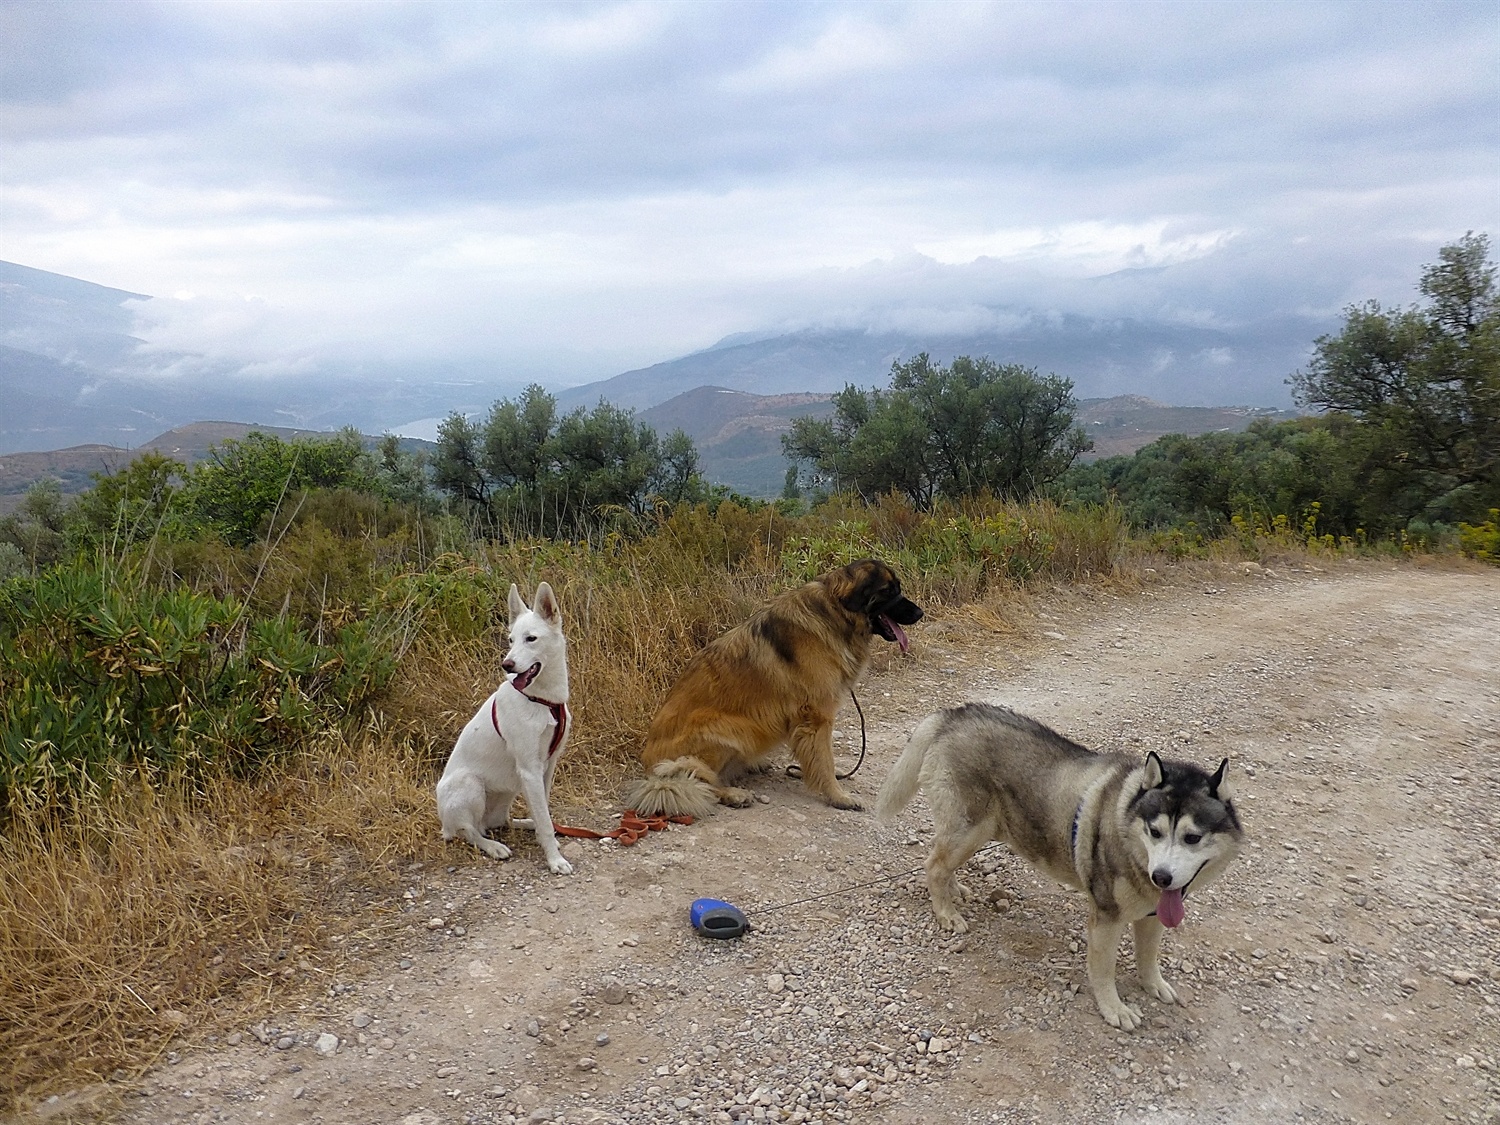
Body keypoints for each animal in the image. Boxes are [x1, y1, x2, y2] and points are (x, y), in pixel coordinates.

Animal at [438, 585, 576, 876]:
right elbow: (544, 820)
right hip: (470, 784)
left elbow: (543, 810)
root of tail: (444, 824)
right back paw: (493, 847)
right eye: (511, 640)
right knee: (470, 832)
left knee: (501, 822)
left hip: (510, 790)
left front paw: (544, 834)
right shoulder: (530, 768)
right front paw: (555, 860)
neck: (543, 700)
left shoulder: (547, 766)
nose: (506, 665)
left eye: (531, 639)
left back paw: (525, 823)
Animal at [624, 561, 924, 822]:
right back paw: (733, 793)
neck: (834, 612)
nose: (920, 613)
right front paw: (838, 796)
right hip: (726, 728)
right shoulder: (816, 716)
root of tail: (649, 765)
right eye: (888, 592)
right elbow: (823, 761)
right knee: (700, 779)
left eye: (898, 588)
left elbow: (824, 757)